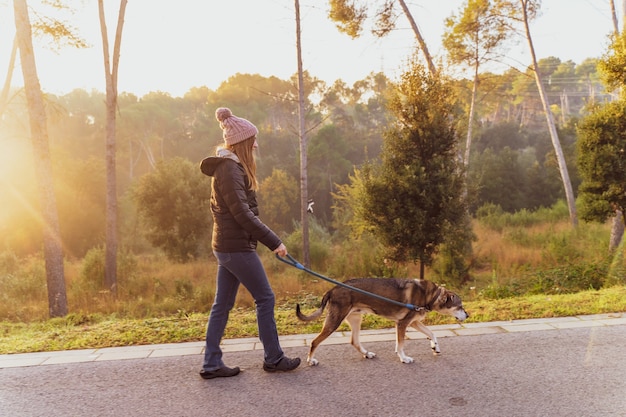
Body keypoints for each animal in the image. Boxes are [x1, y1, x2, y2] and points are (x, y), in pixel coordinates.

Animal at [294, 280, 466, 364]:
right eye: (460, 306)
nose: (468, 315)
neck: (430, 295)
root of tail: (332, 289)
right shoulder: (403, 324)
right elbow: (401, 344)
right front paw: (404, 358)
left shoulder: (412, 322)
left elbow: (432, 333)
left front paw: (435, 347)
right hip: (334, 322)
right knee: (314, 342)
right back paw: (310, 360)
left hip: (356, 319)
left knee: (354, 341)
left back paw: (366, 354)